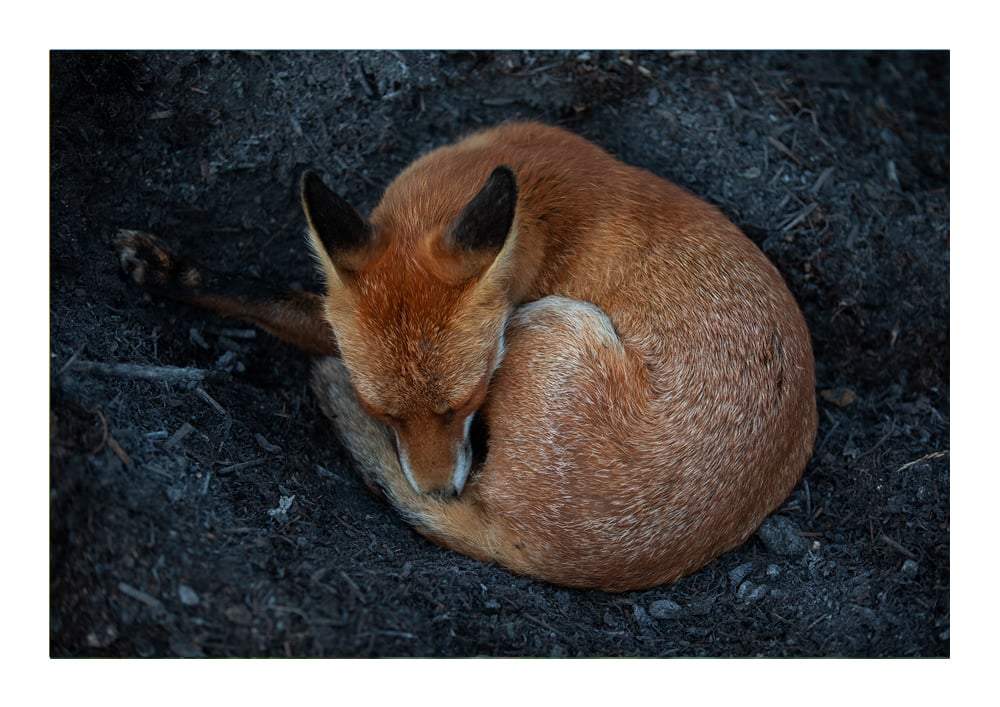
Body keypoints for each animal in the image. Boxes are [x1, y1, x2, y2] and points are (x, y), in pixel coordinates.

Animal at [115, 121, 817, 592]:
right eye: (385, 414)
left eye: (472, 400)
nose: (439, 490)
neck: (536, 198)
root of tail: (540, 555)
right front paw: (172, 271)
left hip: (558, 321)